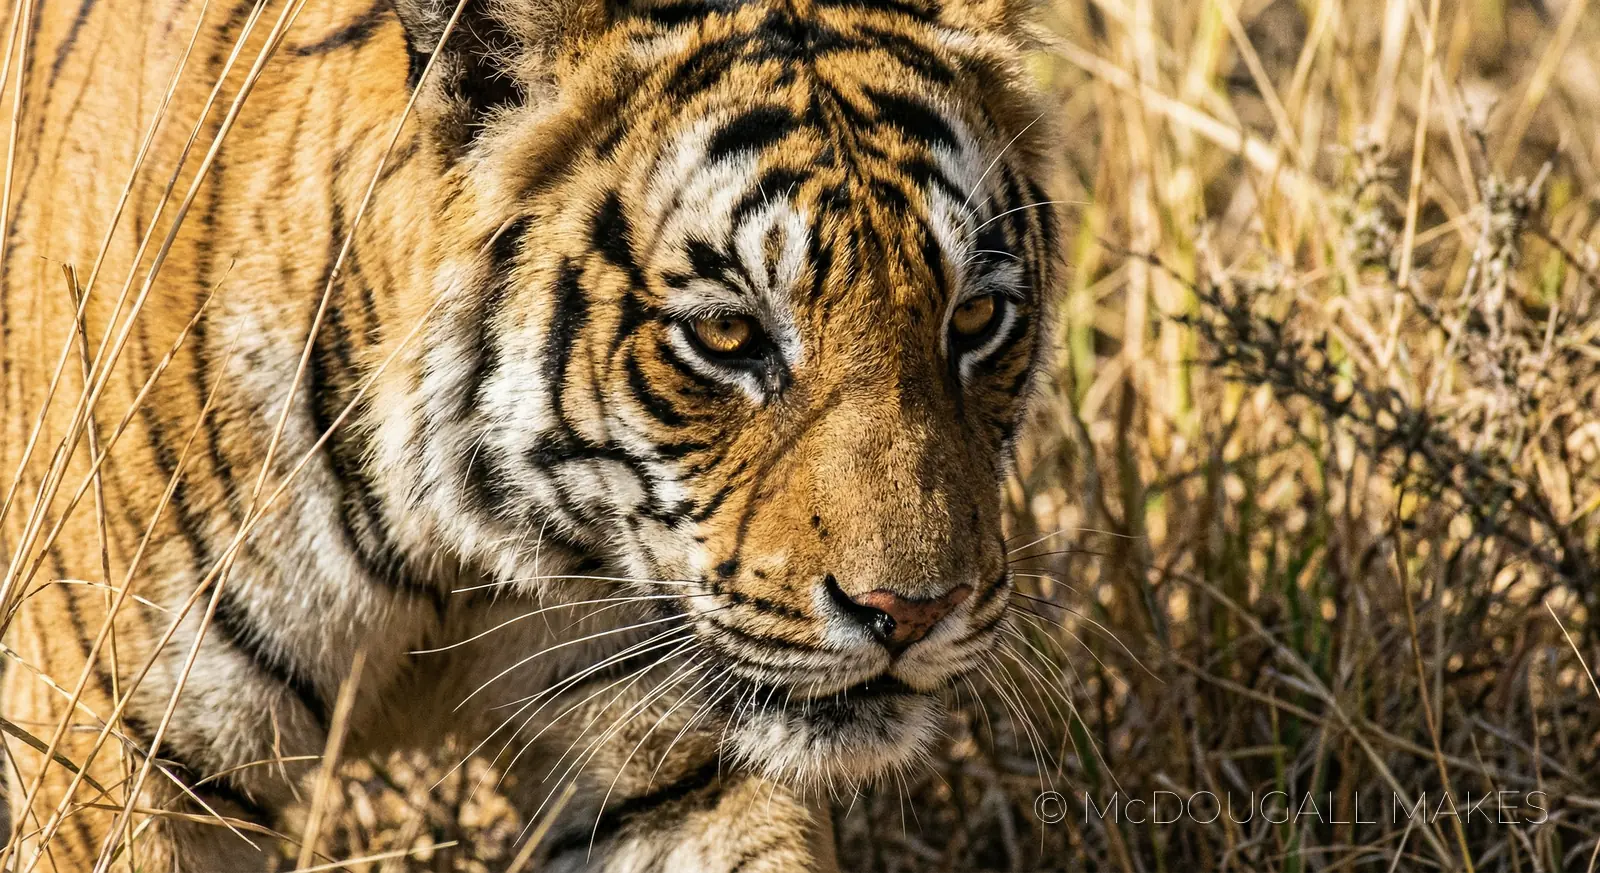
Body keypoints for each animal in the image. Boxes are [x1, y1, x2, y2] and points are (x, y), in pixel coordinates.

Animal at [0, 0, 1060, 865]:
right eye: (728, 333)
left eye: (975, 319)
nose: (913, 613)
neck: (462, 548)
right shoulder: (118, 754)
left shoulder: (680, 765)